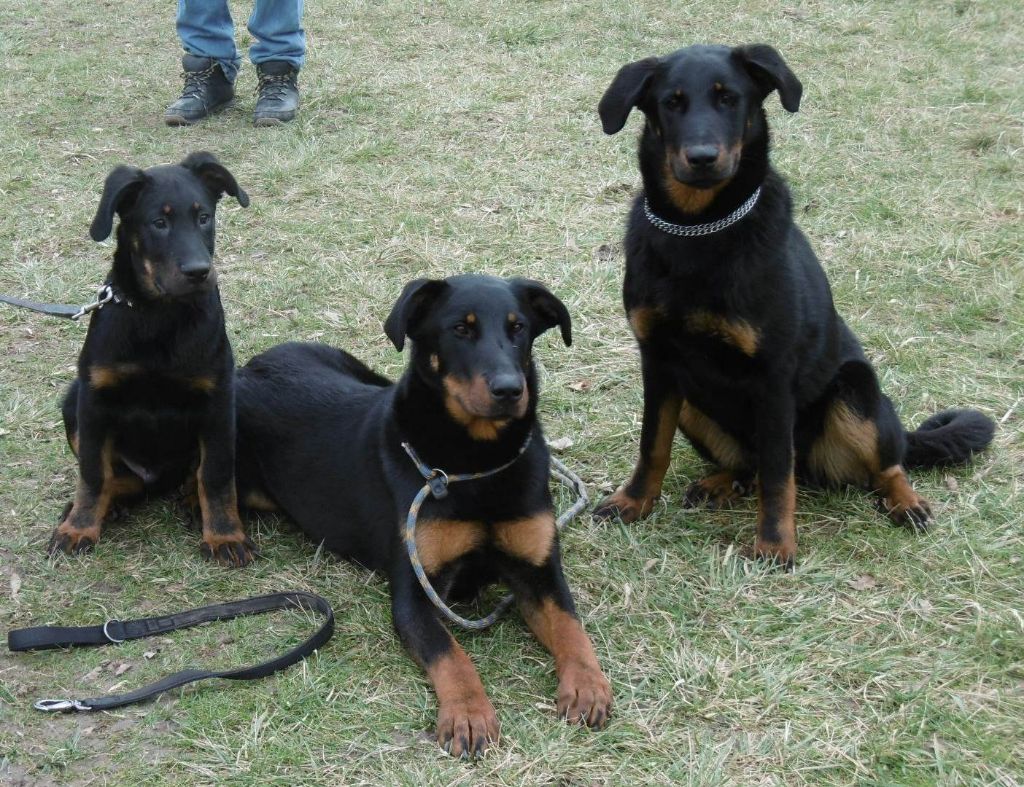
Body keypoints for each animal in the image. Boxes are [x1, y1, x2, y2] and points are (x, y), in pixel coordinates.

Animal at [49, 152, 256, 567]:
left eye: (204, 217)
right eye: (158, 223)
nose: (199, 272)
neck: (159, 316)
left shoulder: (218, 400)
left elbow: (216, 474)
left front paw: (225, 535)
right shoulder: (93, 400)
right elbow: (92, 473)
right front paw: (78, 528)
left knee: (195, 474)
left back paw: (193, 503)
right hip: (72, 399)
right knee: (119, 478)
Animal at [234, 274, 611, 757]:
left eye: (519, 328)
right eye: (460, 329)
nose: (510, 390)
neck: (474, 465)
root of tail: (250, 366)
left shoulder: (539, 569)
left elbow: (570, 626)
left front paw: (586, 684)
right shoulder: (414, 593)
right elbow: (450, 654)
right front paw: (468, 712)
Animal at [592, 44, 995, 566]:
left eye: (729, 98)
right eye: (671, 102)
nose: (702, 158)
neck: (699, 229)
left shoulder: (773, 377)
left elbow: (778, 475)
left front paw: (774, 543)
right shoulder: (659, 365)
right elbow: (651, 447)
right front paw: (634, 502)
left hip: (855, 393)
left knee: (883, 466)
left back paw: (907, 503)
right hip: (692, 403)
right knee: (749, 465)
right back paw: (720, 484)